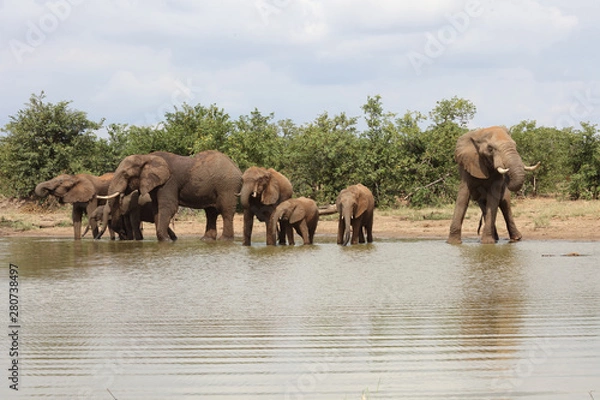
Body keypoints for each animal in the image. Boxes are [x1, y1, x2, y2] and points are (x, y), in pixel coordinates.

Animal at [96, 148, 241, 239]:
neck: (146, 157)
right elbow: (156, 210)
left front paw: (164, 240)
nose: (123, 234)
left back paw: (225, 240)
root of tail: (236, 167)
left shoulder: (169, 182)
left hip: (228, 186)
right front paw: (165, 239)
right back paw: (206, 240)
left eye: (125, 175)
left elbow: (168, 207)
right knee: (211, 213)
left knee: (226, 211)